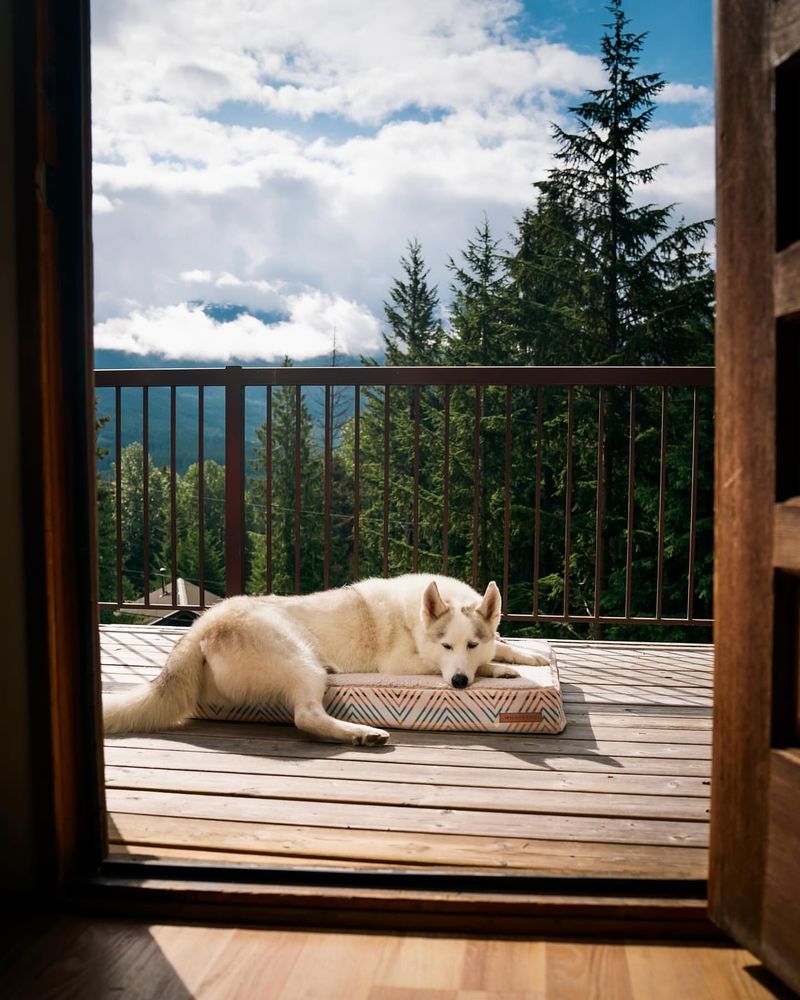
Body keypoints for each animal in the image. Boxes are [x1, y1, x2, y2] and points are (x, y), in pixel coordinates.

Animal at [101, 576, 552, 748]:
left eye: (471, 644)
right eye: (446, 647)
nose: (459, 683)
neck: (415, 621)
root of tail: (201, 628)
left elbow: (504, 644)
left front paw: (523, 654)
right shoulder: (402, 664)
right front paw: (499, 669)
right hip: (301, 661)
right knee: (306, 717)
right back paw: (360, 733)